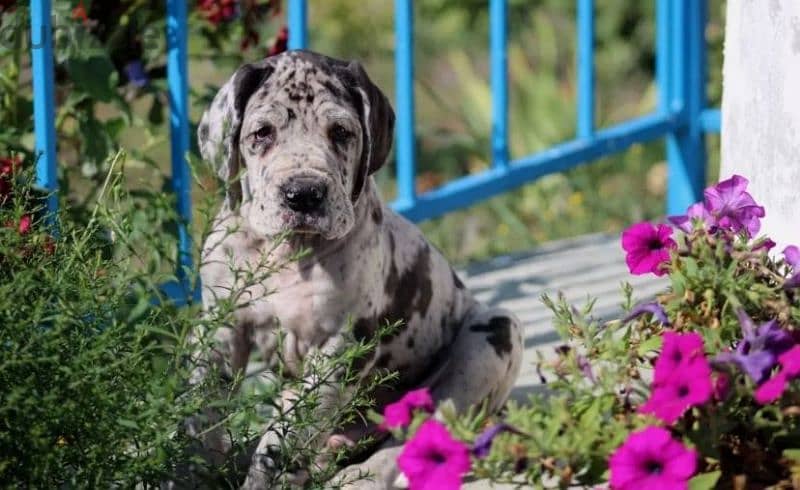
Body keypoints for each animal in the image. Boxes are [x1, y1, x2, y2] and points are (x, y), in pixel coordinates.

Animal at [196, 50, 520, 490]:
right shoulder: (220, 330)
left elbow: (282, 436)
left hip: (495, 336)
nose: (303, 194)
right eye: (261, 133)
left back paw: (362, 476)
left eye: (341, 132)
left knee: (418, 434)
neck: (287, 252)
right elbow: (198, 416)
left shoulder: (340, 346)